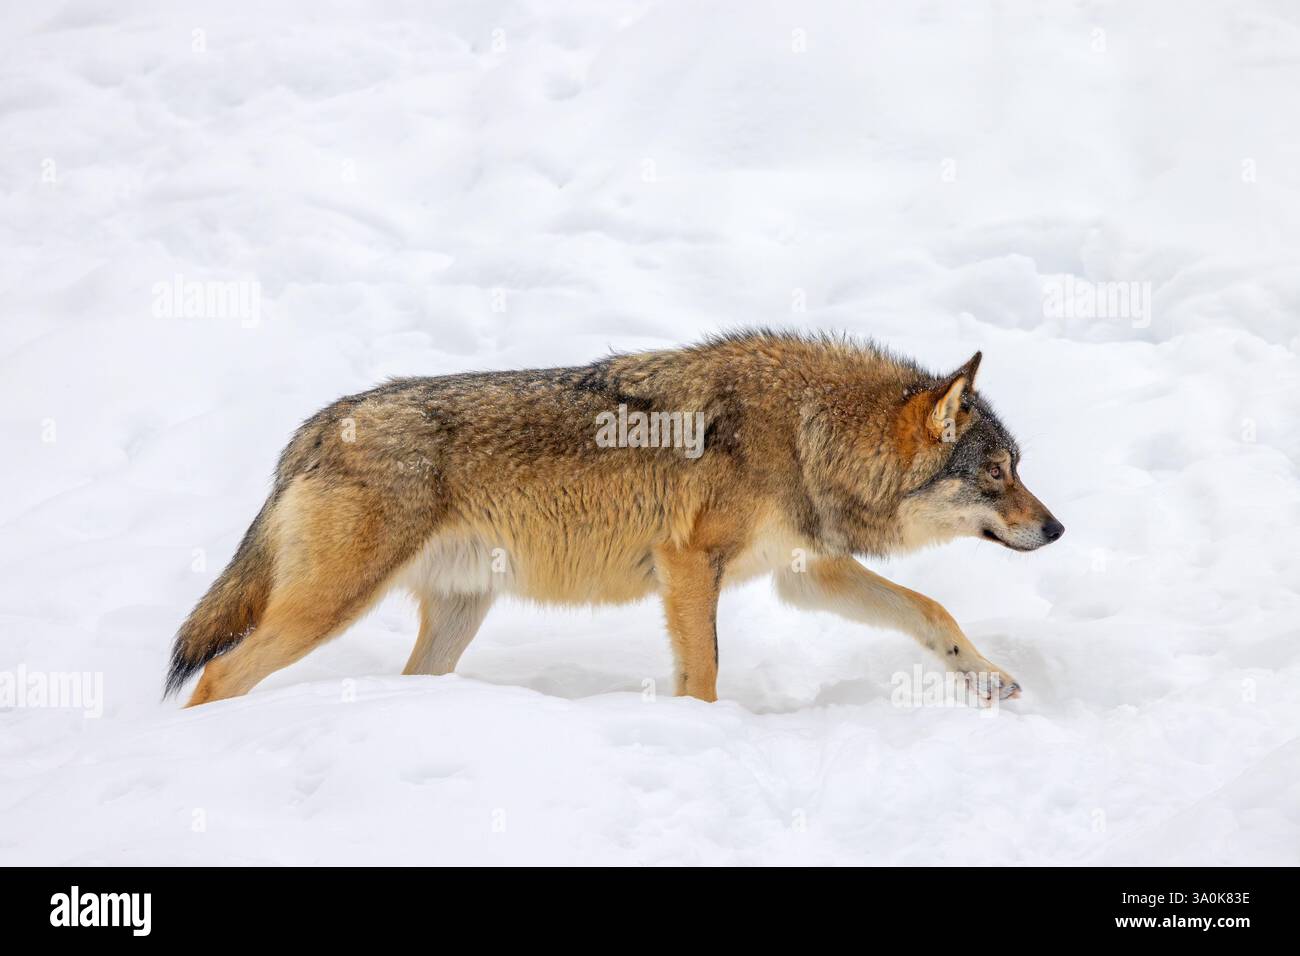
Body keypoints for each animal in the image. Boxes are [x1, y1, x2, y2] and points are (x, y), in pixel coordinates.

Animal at [166, 331, 1063, 707]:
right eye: (997, 475)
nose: (1056, 530)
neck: (808, 433)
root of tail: (319, 425)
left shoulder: (806, 574)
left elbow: (931, 611)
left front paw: (987, 677)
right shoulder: (687, 564)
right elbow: (703, 675)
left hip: (454, 619)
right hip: (331, 607)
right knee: (215, 677)